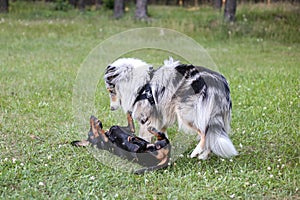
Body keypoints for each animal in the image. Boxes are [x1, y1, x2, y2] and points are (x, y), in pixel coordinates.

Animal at [104, 57, 238, 159]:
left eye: (110, 91)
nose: (111, 108)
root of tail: (220, 85)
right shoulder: (160, 116)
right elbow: (162, 133)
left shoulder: (145, 117)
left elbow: (143, 135)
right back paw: (203, 156)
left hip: (188, 114)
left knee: (204, 132)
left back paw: (196, 152)